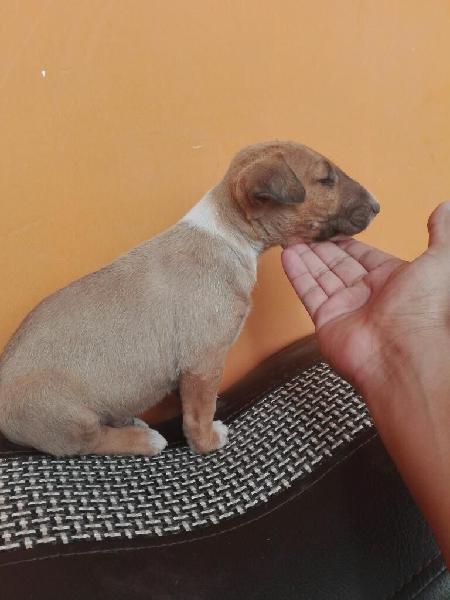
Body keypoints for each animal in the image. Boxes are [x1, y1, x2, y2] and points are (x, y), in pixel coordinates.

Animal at [0, 141, 380, 458]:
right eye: (326, 180)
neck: (228, 233)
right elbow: (200, 412)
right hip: (67, 417)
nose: (377, 206)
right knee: (89, 442)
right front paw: (207, 442)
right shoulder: (203, 362)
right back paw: (143, 439)